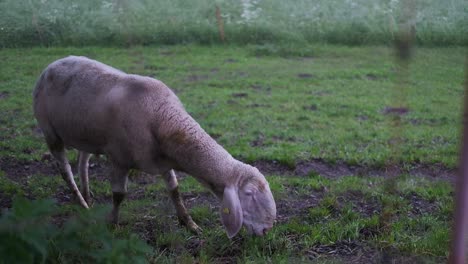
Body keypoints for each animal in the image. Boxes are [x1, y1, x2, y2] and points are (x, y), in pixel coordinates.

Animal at [33, 55, 278, 237]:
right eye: (249, 194)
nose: (267, 230)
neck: (163, 116)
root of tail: (53, 63)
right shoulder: (120, 159)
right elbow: (119, 195)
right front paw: (113, 224)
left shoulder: (161, 160)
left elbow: (174, 191)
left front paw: (189, 224)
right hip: (50, 131)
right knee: (65, 170)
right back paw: (81, 201)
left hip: (87, 134)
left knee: (83, 161)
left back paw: (87, 194)